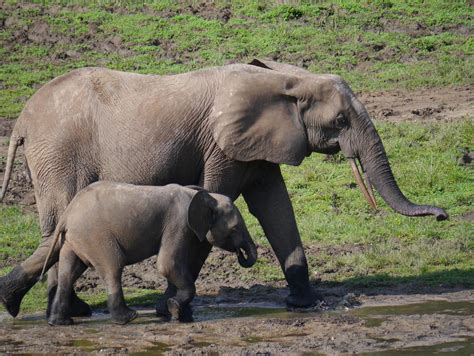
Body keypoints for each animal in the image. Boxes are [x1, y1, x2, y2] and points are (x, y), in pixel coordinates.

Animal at [42, 184, 258, 326]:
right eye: (235, 228)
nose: (241, 253)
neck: (201, 195)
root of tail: (67, 214)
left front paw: (182, 316)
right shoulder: (178, 223)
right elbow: (167, 264)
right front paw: (175, 311)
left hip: (74, 240)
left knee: (68, 273)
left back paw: (60, 322)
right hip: (96, 236)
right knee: (112, 267)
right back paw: (128, 318)